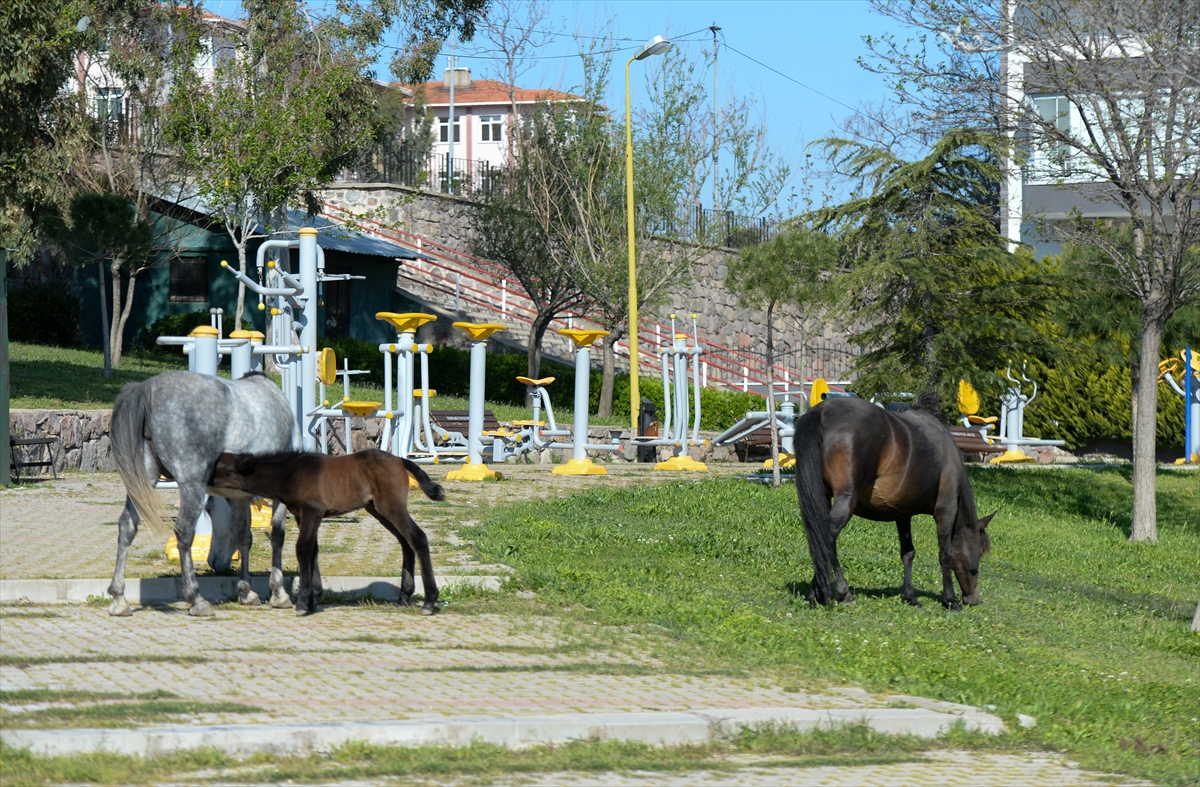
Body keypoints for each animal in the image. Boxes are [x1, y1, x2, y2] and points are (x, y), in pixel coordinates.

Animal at [109, 371, 298, 619]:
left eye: (210, 510)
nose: (215, 562)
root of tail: (148, 388)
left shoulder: (239, 498)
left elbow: (244, 537)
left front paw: (247, 592)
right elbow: (277, 535)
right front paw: (279, 593)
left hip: (143, 483)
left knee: (127, 527)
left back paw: (119, 598)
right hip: (191, 485)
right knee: (184, 532)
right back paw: (196, 599)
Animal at [211, 448, 446, 614]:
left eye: (218, 466)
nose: (203, 476)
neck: (290, 473)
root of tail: (399, 460)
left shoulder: (312, 511)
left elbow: (303, 549)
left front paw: (304, 602)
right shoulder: (302, 515)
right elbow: (313, 550)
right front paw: (314, 598)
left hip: (391, 506)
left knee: (418, 538)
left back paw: (429, 601)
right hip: (378, 509)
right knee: (405, 542)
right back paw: (404, 596)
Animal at [787, 393, 993, 609]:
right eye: (980, 550)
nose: (973, 599)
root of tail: (821, 412)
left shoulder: (902, 513)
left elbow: (908, 553)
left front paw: (910, 596)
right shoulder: (946, 510)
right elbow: (945, 554)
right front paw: (950, 600)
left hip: (824, 497)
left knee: (820, 538)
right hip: (846, 501)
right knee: (826, 538)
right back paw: (838, 593)